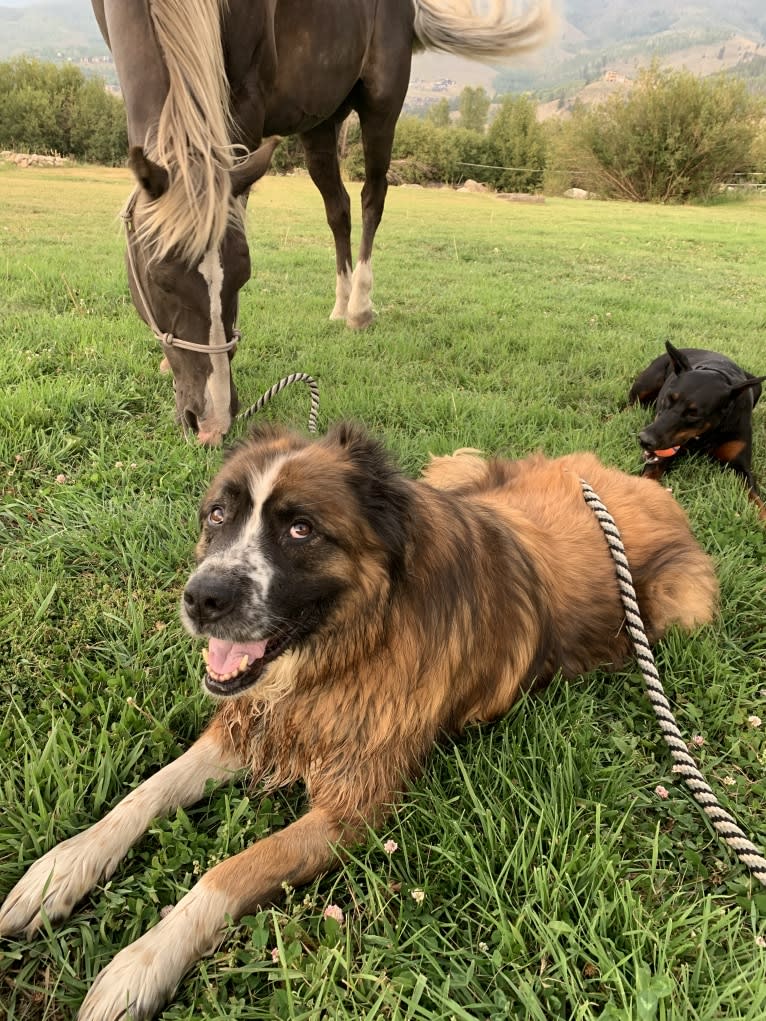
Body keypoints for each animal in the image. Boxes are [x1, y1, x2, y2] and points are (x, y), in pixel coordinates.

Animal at [1, 420, 719, 1012]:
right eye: (217, 515)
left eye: (300, 529)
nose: (201, 599)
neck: (352, 643)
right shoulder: (254, 725)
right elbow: (142, 795)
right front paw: (58, 870)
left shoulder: (352, 805)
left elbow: (229, 870)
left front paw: (142, 964)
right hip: (459, 469)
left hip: (683, 604)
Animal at [92, 1, 555, 445]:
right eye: (161, 282)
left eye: (245, 277)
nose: (212, 423)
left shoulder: (246, 98)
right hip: (318, 121)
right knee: (338, 209)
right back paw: (340, 303)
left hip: (381, 103)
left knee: (371, 198)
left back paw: (359, 308)